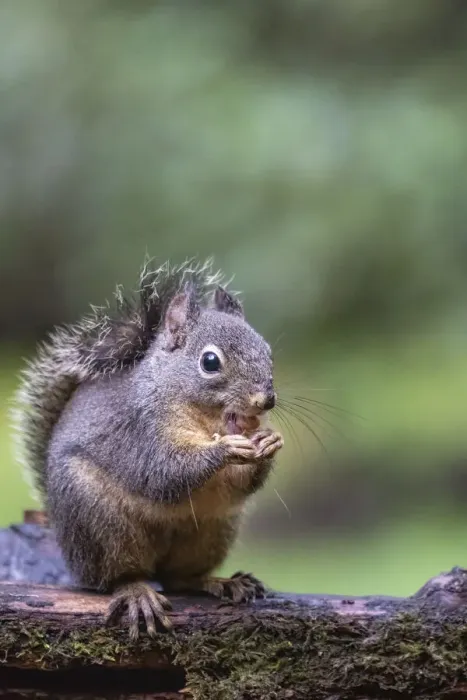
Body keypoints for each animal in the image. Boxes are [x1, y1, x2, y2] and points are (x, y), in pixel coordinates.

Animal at [12, 259, 284, 639]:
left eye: (268, 352)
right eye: (210, 362)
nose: (266, 400)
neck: (204, 419)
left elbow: (240, 483)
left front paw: (268, 443)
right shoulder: (141, 431)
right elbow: (163, 472)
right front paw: (225, 449)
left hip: (213, 528)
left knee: (179, 578)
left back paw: (221, 582)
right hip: (99, 523)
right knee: (118, 577)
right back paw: (136, 593)